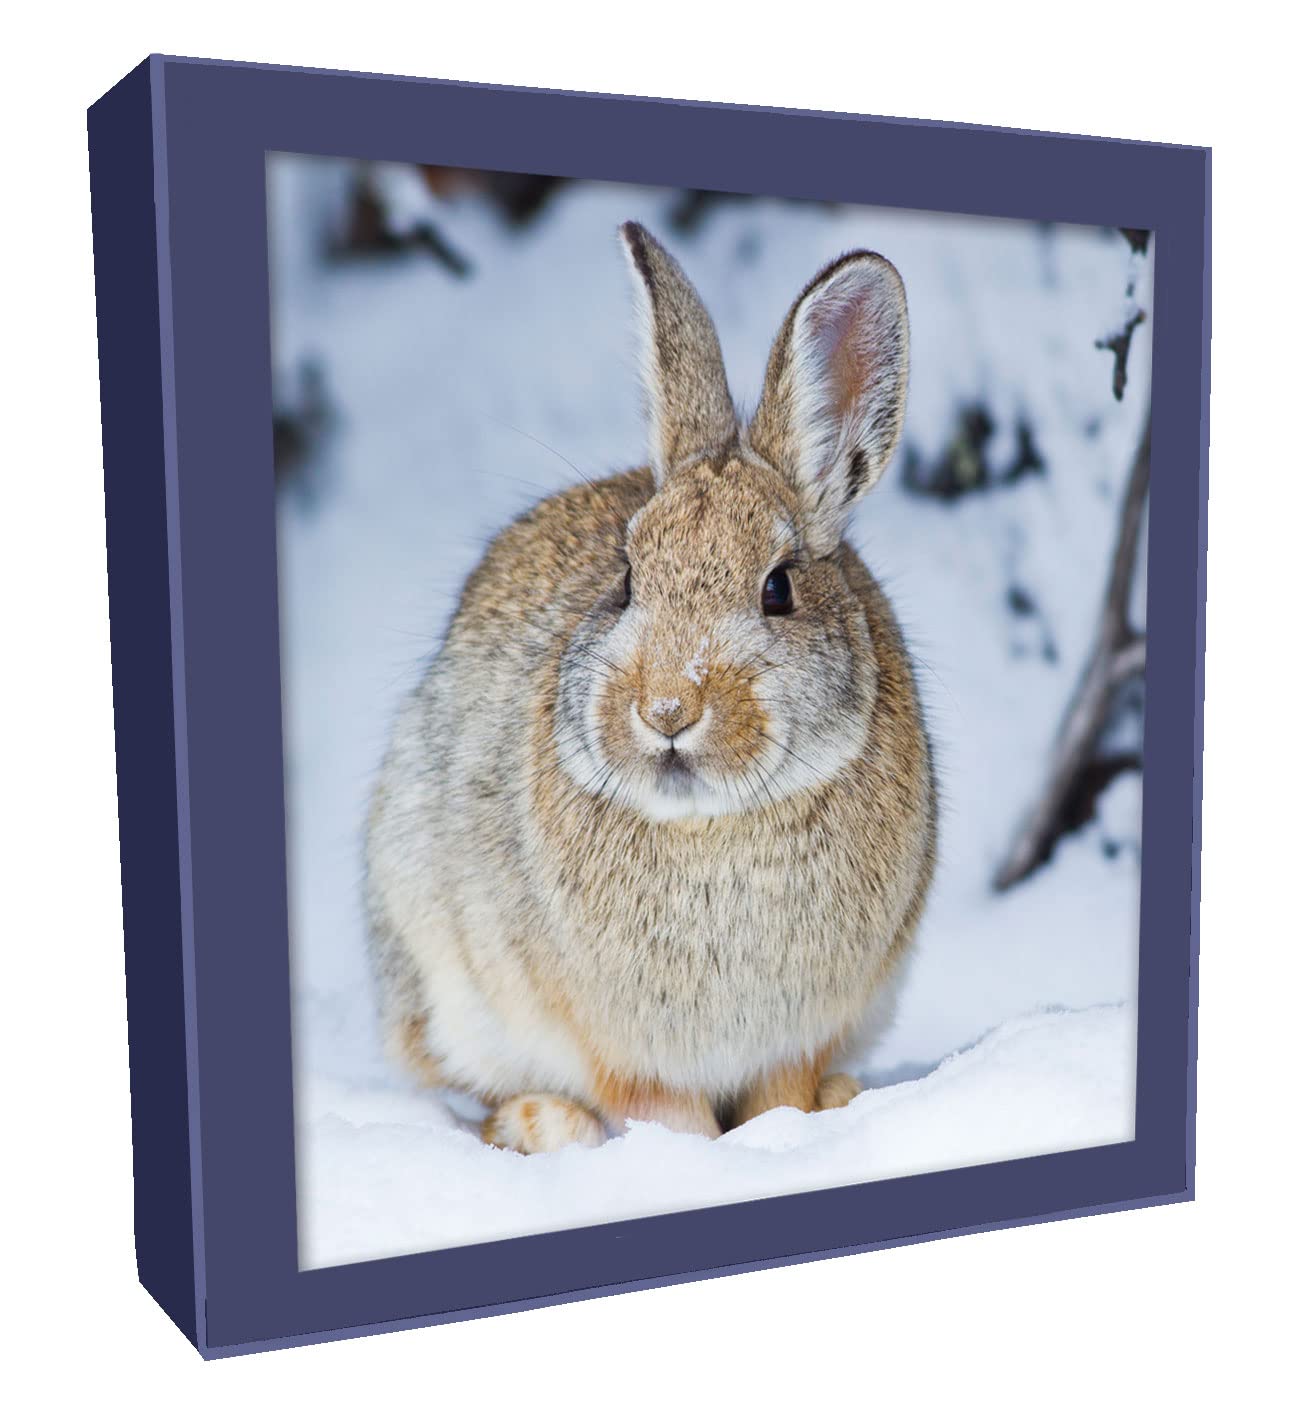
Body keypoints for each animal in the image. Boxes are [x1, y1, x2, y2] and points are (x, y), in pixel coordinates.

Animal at [363, 221, 936, 1153]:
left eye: (777, 587)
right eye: (627, 579)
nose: (666, 709)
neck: (716, 824)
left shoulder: (796, 1036)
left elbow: (779, 1096)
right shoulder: (625, 1053)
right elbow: (664, 1116)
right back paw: (544, 1124)